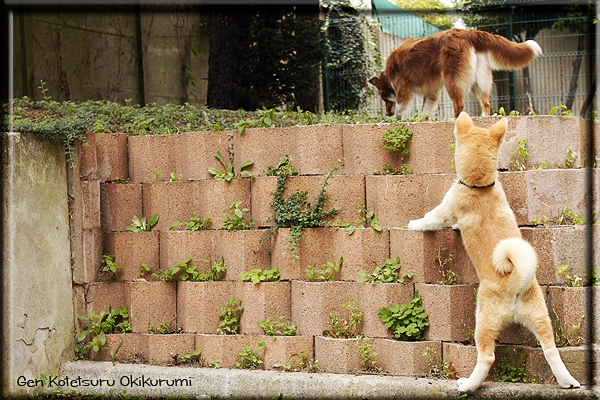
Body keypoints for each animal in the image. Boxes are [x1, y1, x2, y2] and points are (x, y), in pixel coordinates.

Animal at [370, 28, 544, 118]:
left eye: (383, 97)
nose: (386, 113)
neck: (387, 76)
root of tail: (467, 32)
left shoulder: (403, 89)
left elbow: (400, 107)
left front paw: (395, 120)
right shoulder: (432, 91)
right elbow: (425, 111)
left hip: (452, 79)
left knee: (459, 104)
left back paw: (456, 121)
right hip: (478, 79)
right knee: (486, 103)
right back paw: (484, 118)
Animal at [406, 111, 580, 392]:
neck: (481, 187)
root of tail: (515, 282)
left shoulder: (446, 208)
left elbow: (430, 219)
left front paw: (414, 224)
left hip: (484, 319)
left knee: (487, 356)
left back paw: (468, 385)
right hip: (540, 317)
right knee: (551, 350)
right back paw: (568, 381)